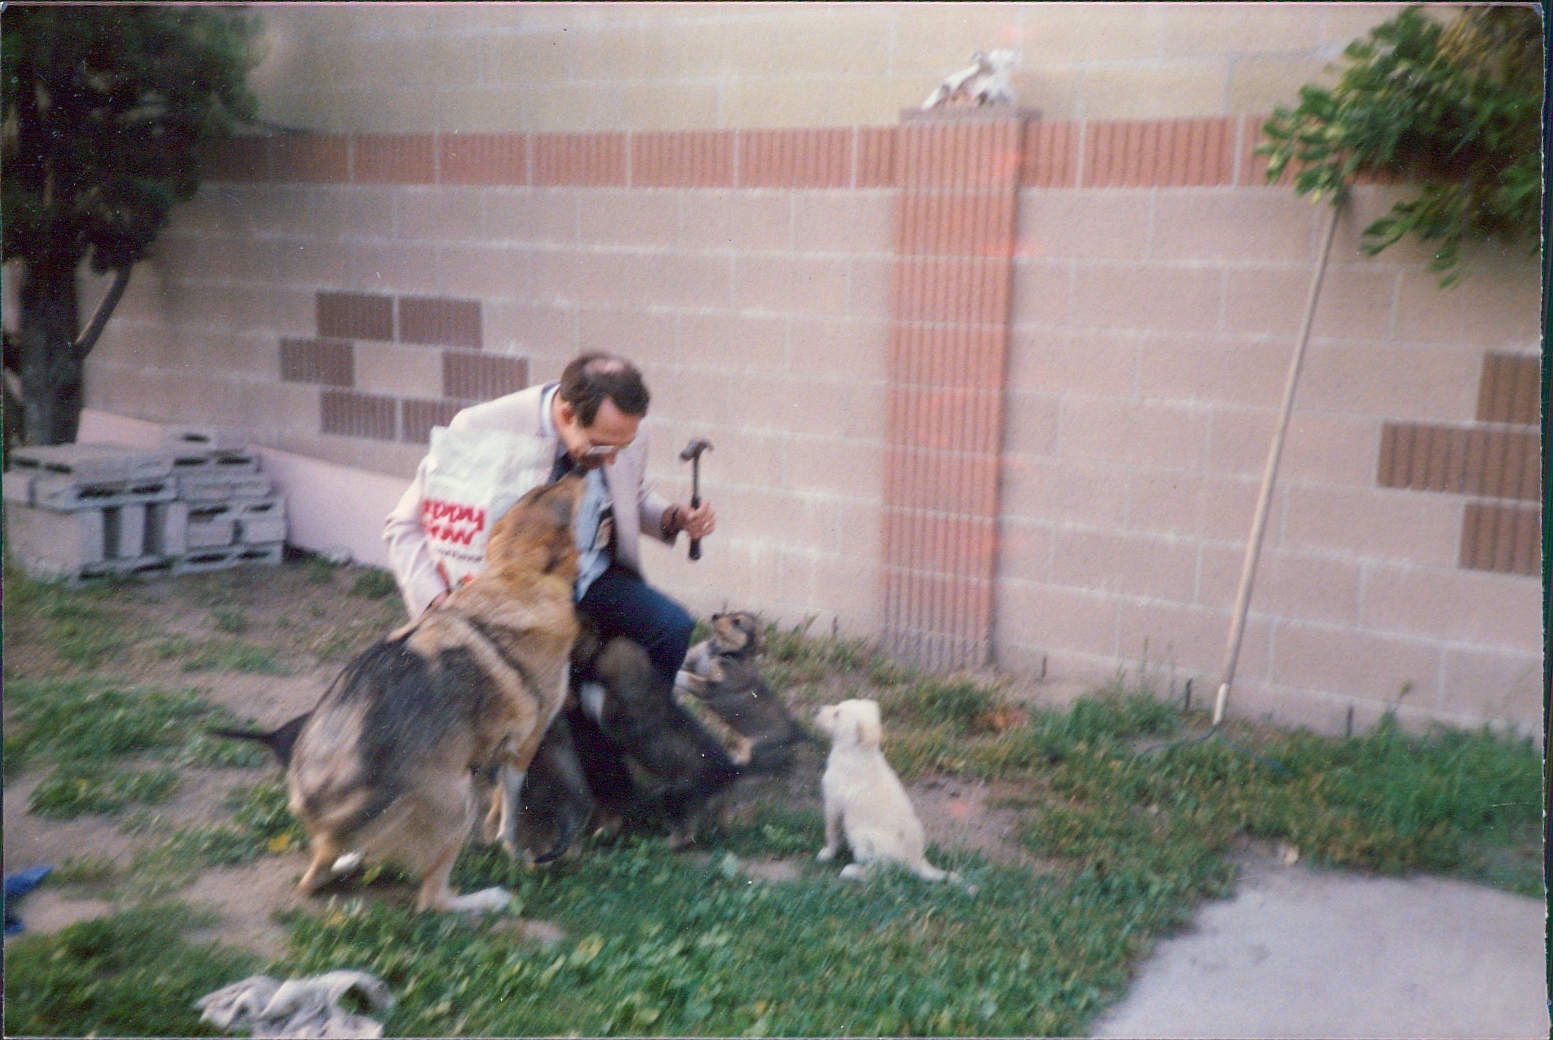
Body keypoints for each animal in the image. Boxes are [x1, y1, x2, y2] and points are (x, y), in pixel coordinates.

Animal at [218, 476, 585, 913]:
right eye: (557, 501)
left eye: (536, 493)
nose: (577, 472)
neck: (517, 579)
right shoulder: (524, 745)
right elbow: (509, 807)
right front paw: (510, 847)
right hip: (459, 799)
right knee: (432, 900)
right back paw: (488, 899)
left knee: (327, 867)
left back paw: (343, 862)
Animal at [676, 611, 814, 771]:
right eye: (729, 613)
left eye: (737, 623)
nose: (715, 615)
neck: (719, 652)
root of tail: (798, 731)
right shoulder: (694, 658)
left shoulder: (714, 688)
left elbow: (688, 677)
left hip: (756, 746)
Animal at [815, 699, 962, 886]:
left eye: (837, 714)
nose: (817, 710)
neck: (857, 751)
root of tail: (917, 860)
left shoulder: (834, 803)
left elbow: (832, 832)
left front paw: (826, 853)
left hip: (863, 837)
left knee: (880, 873)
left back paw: (852, 871)